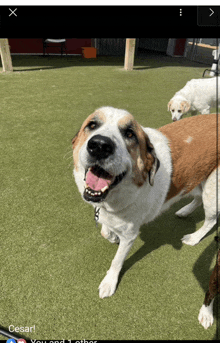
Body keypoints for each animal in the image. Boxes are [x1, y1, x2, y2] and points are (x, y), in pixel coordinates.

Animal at [72, 107, 220, 298]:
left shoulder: (130, 235)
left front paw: (109, 282)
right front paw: (112, 236)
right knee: (197, 197)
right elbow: (105, 230)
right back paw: (185, 211)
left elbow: (117, 260)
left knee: (211, 220)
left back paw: (194, 237)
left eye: (130, 134)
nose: (99, 145)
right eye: (92, 125)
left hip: (212, 191)